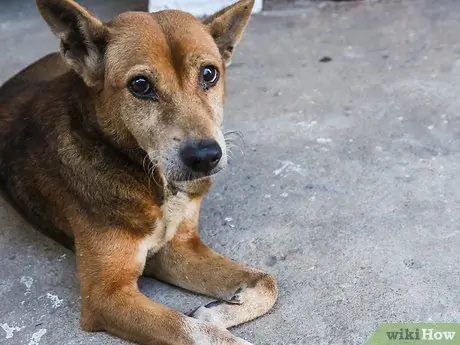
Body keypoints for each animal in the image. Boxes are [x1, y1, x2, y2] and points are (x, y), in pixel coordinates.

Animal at [0, 0, 276, 342]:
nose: (205, 157)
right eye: (140, 85)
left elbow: (267, 282)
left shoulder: (179, 249)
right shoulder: (106, 295)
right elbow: (192, 331)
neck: (157, 185)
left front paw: (216, 311)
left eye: (209, 73)